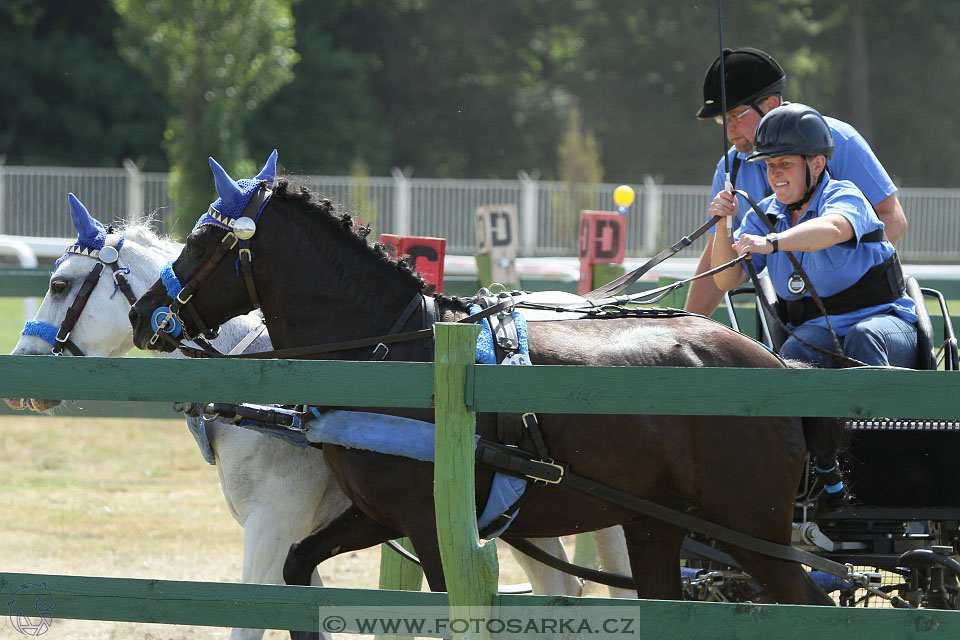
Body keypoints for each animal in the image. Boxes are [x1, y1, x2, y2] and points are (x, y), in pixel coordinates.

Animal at [129, 170, 840, 616]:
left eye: (204, 239)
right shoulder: (378, 514)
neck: (396, 349)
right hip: (656, 525)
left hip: (748, 525)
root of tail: (774, 365)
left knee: (814, 605)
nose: (143, 312)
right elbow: (300, 567)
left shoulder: (432, 526)